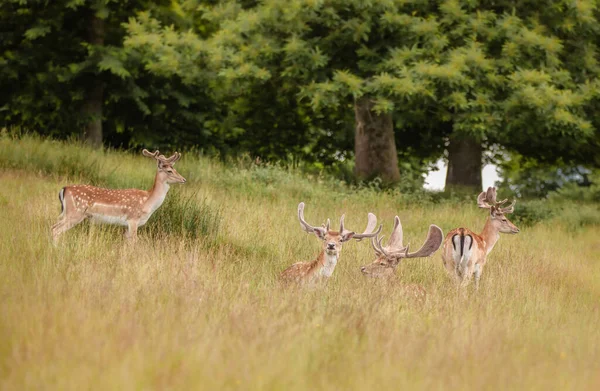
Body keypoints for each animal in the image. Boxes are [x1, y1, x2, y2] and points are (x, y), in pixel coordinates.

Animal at [51, 149, 185, 242]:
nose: (184, 179)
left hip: (67, 213)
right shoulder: (133, 219)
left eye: (175, 169)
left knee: (53, 227)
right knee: (55, 230)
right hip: (75, 213)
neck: (148, 202)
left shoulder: (127, 225)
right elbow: (134, 242)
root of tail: (64, 189)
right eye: (169, 171)